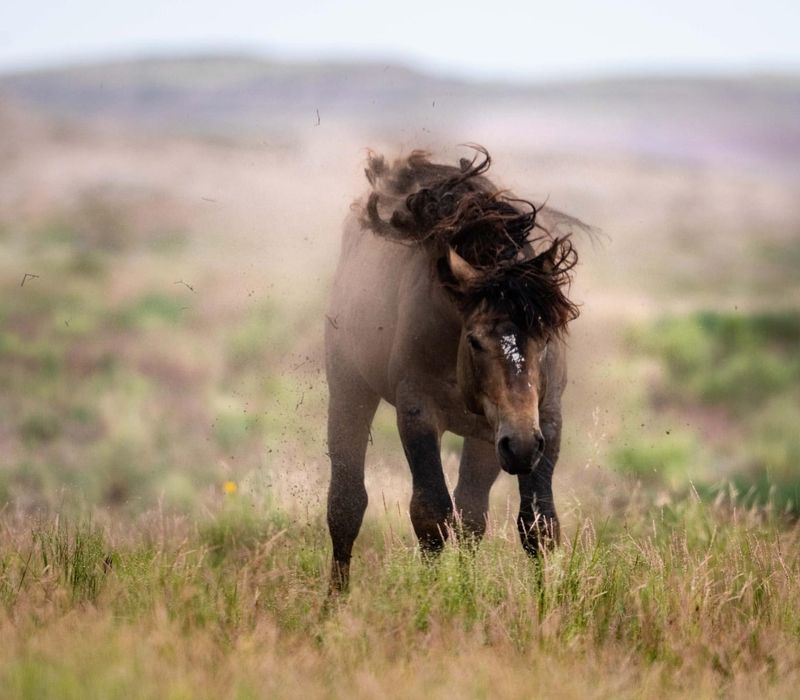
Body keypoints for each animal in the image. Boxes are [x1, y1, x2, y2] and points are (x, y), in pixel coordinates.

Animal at [324, 146, 580, 592]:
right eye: (475, 340)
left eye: (546, 338)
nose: (521, 445)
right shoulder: (418, 411)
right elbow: (431, 515)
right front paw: (432, 599)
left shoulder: (544, 419)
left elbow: (539, 525)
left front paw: (542, 601)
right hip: (349, 387)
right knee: (346, 504)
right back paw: (333, 603)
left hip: (488, 437)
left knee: (472, 513)